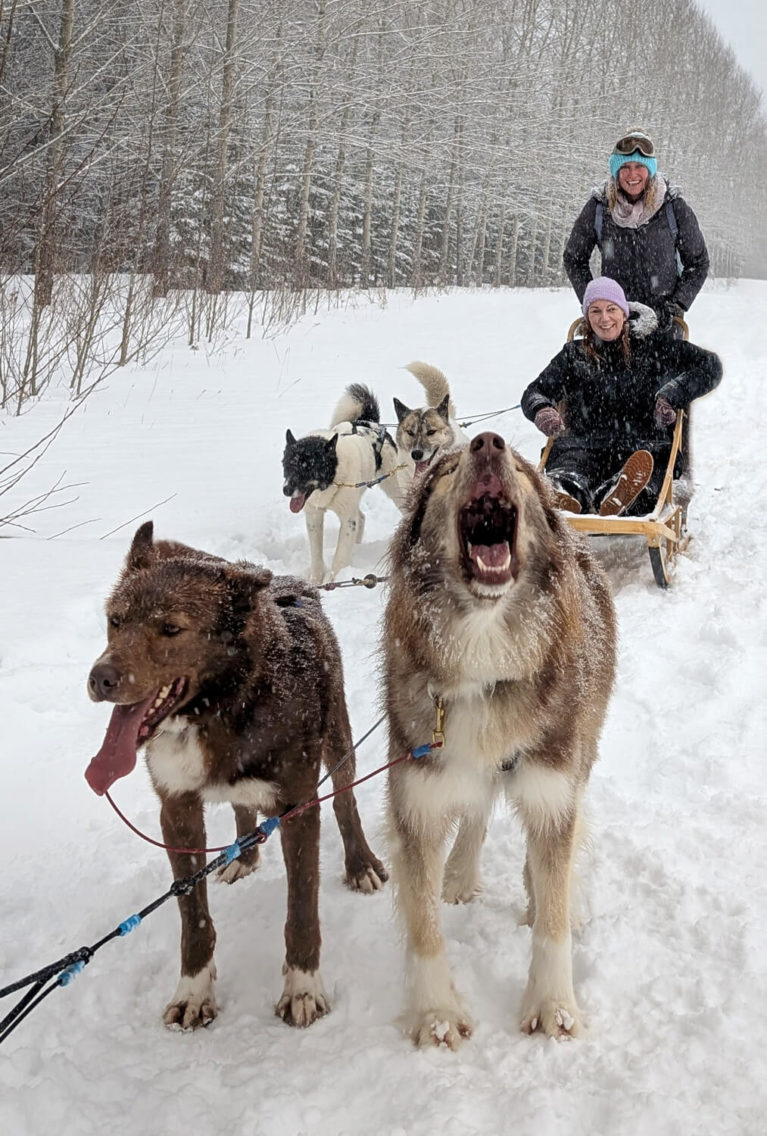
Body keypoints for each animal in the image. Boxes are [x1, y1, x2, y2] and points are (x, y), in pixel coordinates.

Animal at [86, 522, 386, 1031]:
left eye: (171, 628)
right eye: (116, 620)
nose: (99, 678)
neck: (223, 705)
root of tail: (288, 584)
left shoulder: (298, 807)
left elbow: (301, 910)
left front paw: (302, 987)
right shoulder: (177, 812)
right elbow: (194, 919)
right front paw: (194, 991)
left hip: (337, 740)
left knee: (346, 802)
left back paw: (359, 863)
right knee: (242, 805)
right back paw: (243, 854)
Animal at [280, 383, 402, 586]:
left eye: (308, 469)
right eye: (288, 465)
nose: (287, 490)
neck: (332, 480)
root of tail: (368, 422)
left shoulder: (346, 519)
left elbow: (340, 555)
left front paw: (334, 581)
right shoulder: (314, 516)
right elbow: (316, 555)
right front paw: (315, 582)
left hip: (393, 486)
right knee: (361, 517)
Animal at [384, 431, 618, 1045]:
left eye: (517, 465)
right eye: (446, 472)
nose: (487, 442)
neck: (485, 652)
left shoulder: (553, 793)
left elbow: (553, 917)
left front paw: (554, 1005)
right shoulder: (417, 802)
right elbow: (423, 926)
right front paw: (437, 1013)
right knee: (478, 809)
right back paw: (461, 873)